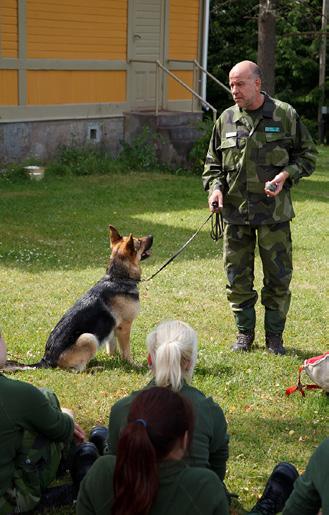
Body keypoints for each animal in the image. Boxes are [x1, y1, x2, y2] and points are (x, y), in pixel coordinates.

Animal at [6, 226, 152, 370]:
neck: (117, 278)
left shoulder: (113, 327)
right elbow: (126, 350)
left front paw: (113, 358)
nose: (151, 236)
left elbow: (111, 348)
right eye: (139, 241)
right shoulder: (124, 327)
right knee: (78, 370)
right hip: (89, 338)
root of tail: (46, 359)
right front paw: (132, 364)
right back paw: (95, 368)